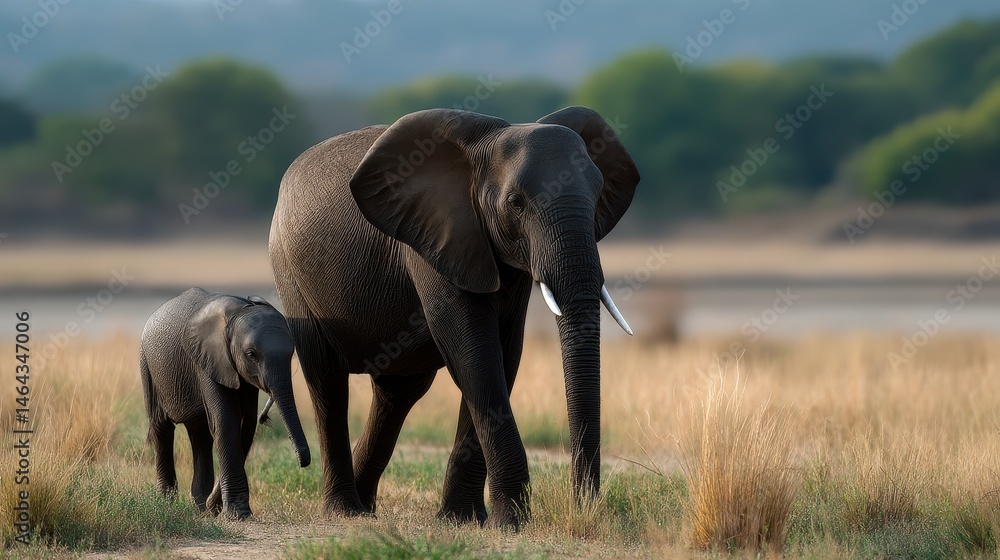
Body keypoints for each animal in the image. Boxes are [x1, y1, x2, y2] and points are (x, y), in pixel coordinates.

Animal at [139, 287, 311, 520]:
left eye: (291, 354)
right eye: (251, 355)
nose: (303, 463)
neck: (239, 311)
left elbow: (246, 424)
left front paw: (218, 508)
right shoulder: (207, 361)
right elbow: (226, 421)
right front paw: (238, 515)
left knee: (200, 435)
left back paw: (201, 506)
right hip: (147, 365)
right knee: (161, 428)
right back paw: (167, 503)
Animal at [268, 106, 639, 529]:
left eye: (597, 195)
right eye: (516, 203)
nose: (582, 505)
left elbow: (504, 355)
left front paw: (464, 520)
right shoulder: (435, 241)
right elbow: (476, 353)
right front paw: (509, 523)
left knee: (398, 393)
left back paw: (365, 507)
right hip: (290, 273)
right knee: (327, 381)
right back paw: (345, 511)